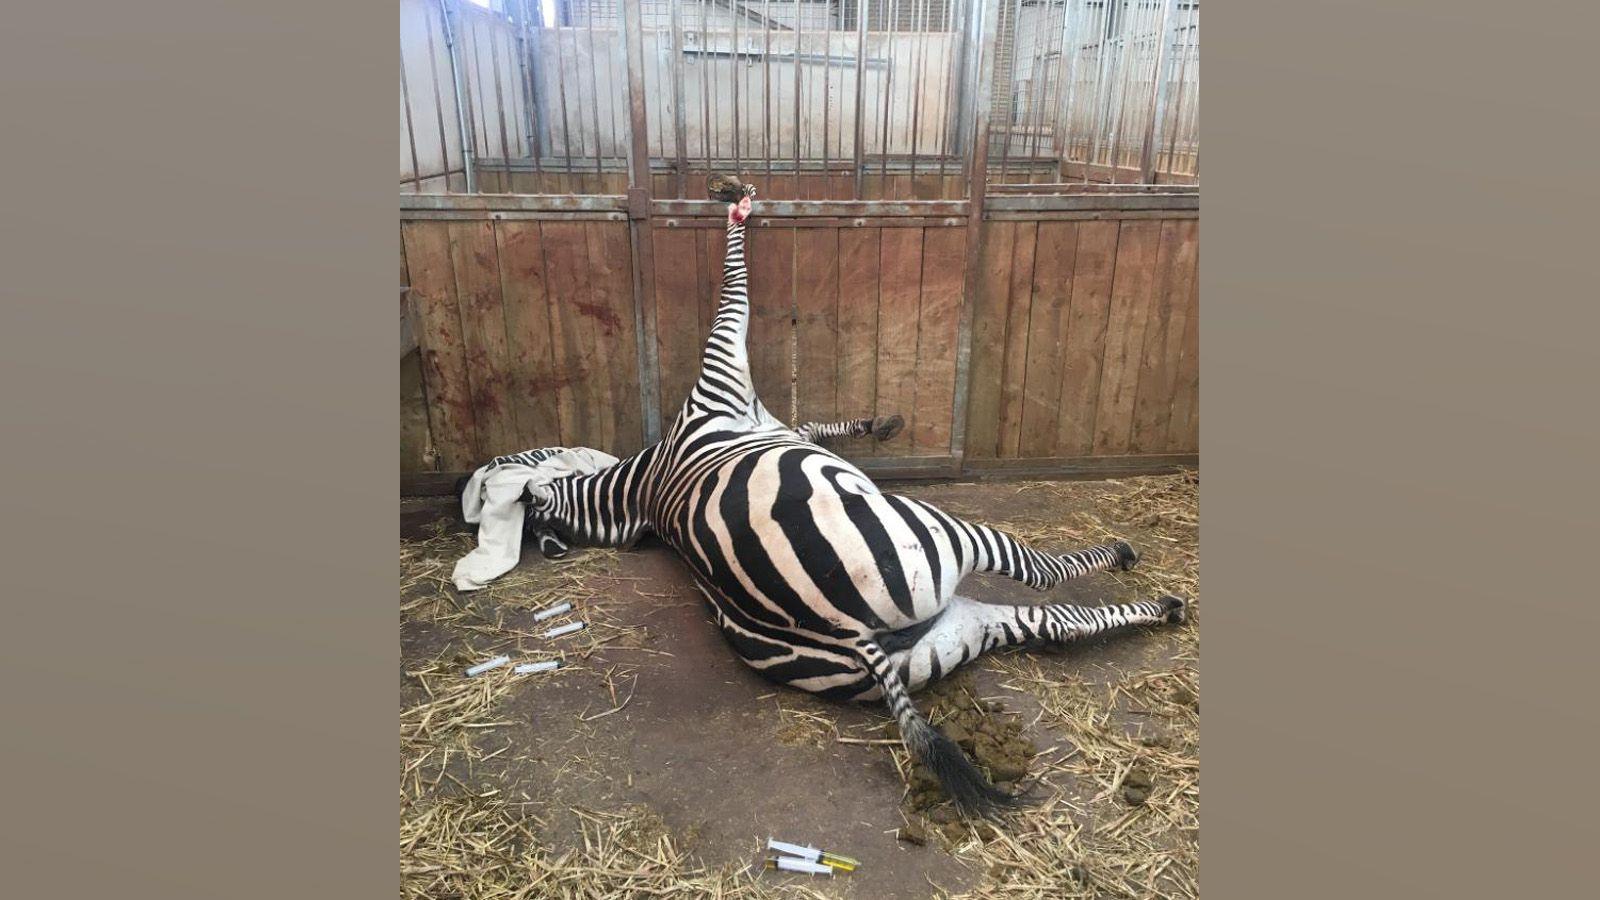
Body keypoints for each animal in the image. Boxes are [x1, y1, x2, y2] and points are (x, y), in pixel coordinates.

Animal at [524, 180, 1190, 813]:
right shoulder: (722, 371)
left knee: (1056, 624)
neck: (647, 482)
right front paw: (738, 207)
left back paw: (1165, 607)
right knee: (1041, 575)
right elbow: (735, 289)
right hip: (936, 537)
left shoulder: (774, 422)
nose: (732, 187)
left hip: (952, 635)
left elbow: (816, 425)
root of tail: (844, 634)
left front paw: (882, 423)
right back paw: (1126, 559)